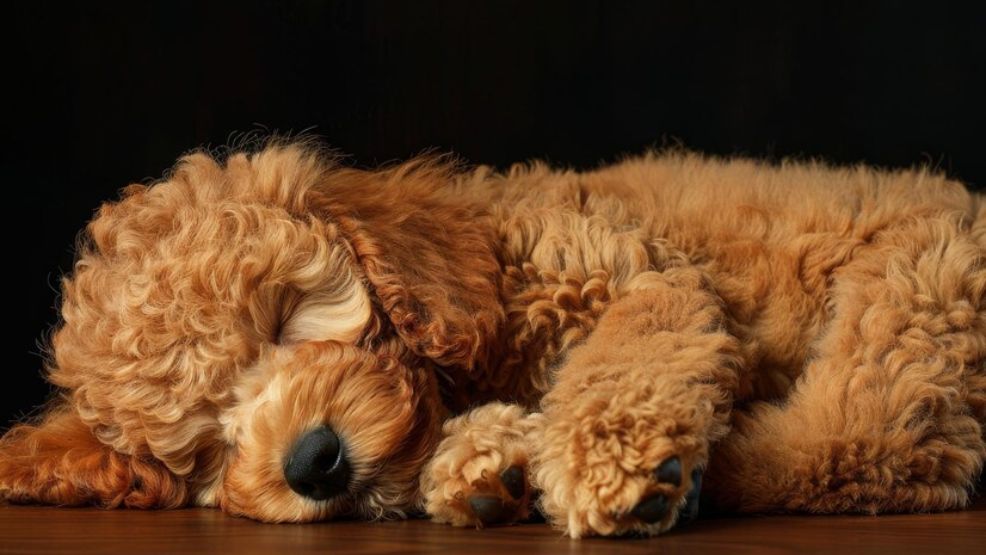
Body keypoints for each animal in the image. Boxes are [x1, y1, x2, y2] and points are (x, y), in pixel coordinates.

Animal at [0, 142, 980, 540]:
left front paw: (601, 459)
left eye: (282, 318)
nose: (313, 462)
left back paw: (717, 463)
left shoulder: (633, 274)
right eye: (205, 446)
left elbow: (628, 353)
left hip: (920, 287)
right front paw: (492, 463)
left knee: (869, 439)